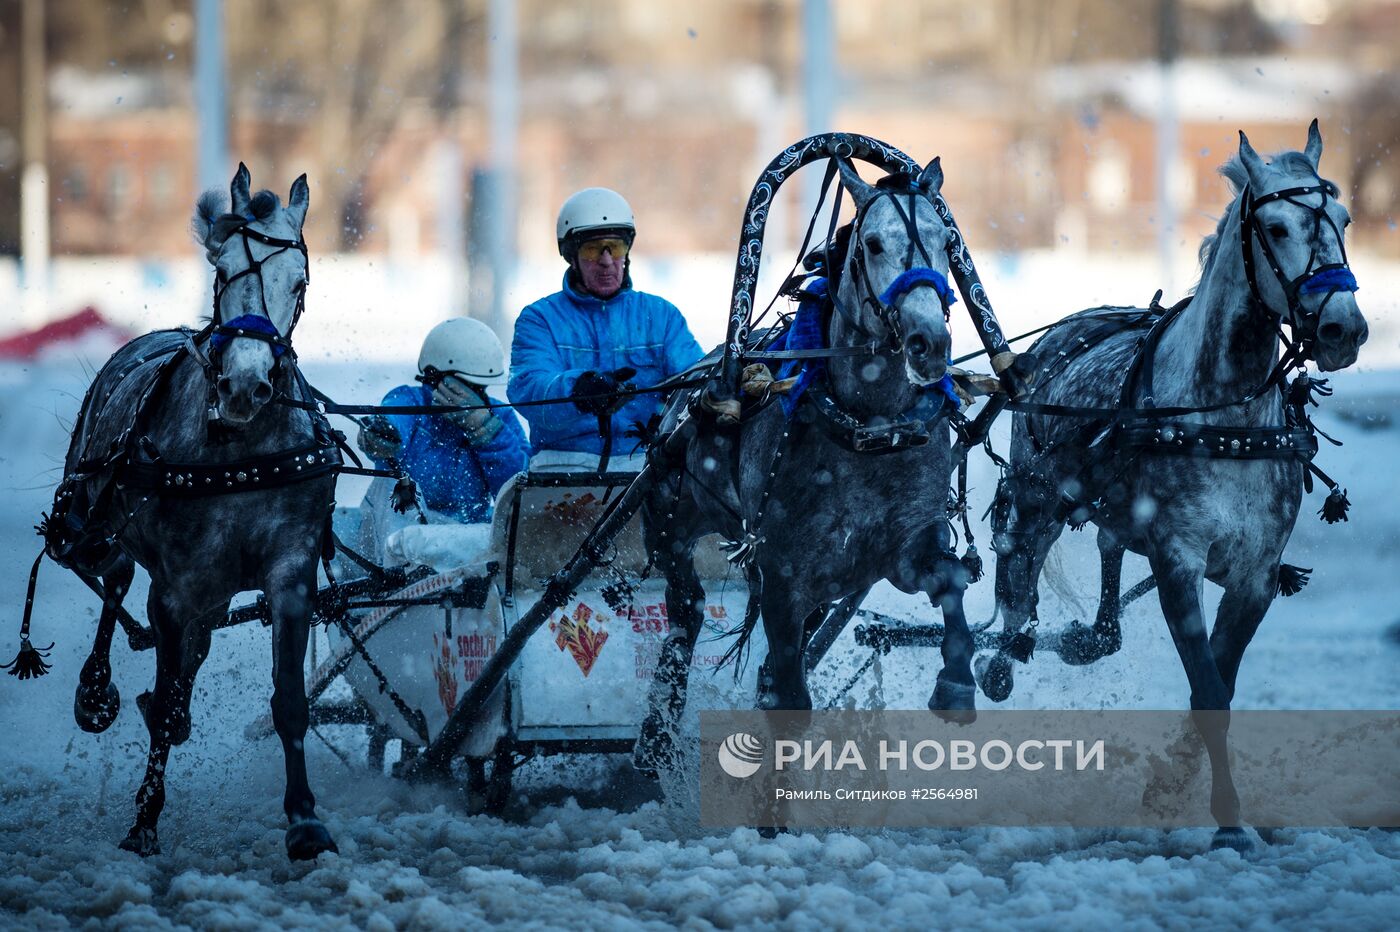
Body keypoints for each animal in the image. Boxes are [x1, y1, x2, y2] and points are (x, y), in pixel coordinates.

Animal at [52, 167, 338, 856]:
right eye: (223, 267)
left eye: (299, 281)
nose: (245, 386)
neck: (240, 450)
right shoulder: (176, 586)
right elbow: (164, 686)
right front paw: (144, 820)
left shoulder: (290, 575)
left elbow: (290, 701)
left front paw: (304, 819)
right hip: (96, 523)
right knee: (112, 576)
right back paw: (97, 690)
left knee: (192, 646)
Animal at [635, 159, 974, 766]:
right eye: (873, 243)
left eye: (945, 241)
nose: (928, 342)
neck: (867, 431)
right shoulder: (781, 576)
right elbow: (790, 701)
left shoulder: (903, 545)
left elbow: (950, 578)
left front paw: (957, 681)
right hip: (668, 511)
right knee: (686, 604)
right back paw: (657, 732)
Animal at [991, 123, 1360, 850]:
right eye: (1276, 227)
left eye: (1343, 217)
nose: (1344, 328)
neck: (1224, 419)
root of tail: (1065, 331)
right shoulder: (1177, 561)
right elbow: (1209, 688)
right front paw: (1226, 821)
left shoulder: (1253, 573)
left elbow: (1219, 680)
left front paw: (1173, 783)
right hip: (1036, 491)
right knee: (1018, 577)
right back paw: (993, 660)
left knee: (1106, 576)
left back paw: (1085, 636)